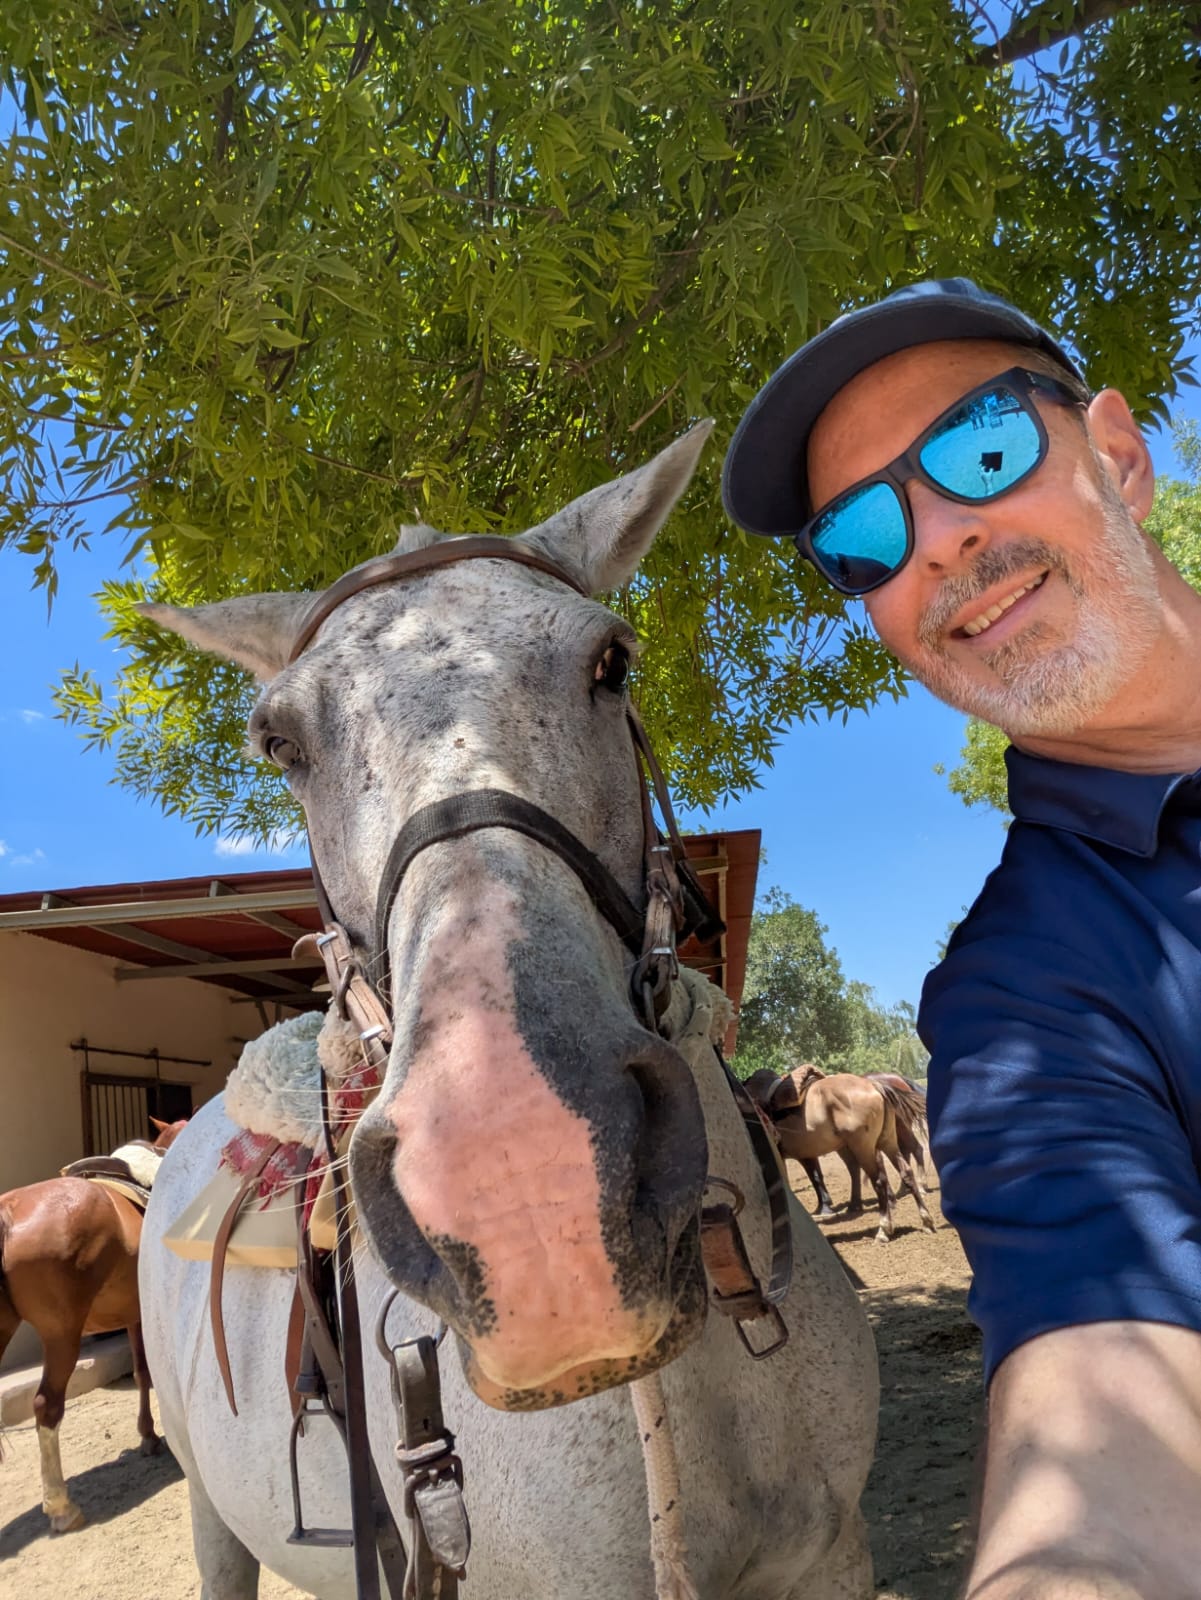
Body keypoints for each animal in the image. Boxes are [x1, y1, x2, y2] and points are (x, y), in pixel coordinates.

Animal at [0, 1116, 186, 1531]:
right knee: (46, 1405)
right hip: (62, 1334)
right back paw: (60, 1506)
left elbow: (142, 1374)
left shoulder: (133, 1315)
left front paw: (149, 1436)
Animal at [745, 1065, 934, 1241]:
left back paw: (884, 1229)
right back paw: (926, 1220)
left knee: (880, 1179)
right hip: (887, 1141)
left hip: (863, 1147)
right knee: (906, 1171)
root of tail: (873, 1085)